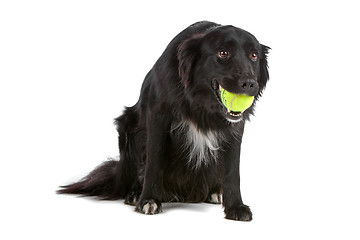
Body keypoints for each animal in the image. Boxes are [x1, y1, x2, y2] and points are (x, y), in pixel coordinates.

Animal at [57, 21, 268, 221]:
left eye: (254, 56)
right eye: (223, 53)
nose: (250, 84)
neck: (199, 103)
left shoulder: (235, 128)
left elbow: (233, 171)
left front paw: (235, 207)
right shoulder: (157, 115)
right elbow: (154, 161)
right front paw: (148, 199)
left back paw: (214, 192)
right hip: (127, 127)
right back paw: (135, 194)